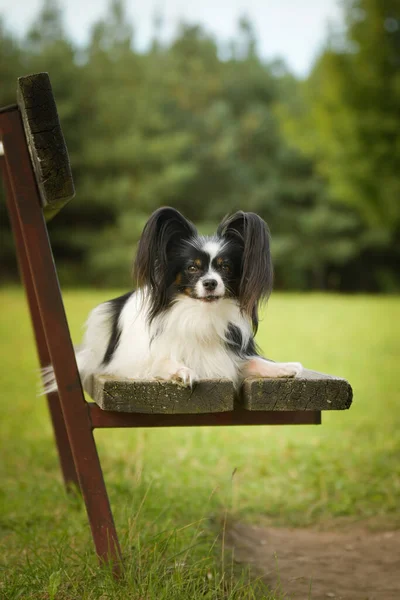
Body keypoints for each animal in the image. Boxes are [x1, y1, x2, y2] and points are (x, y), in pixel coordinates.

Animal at [41, 206, 304, 394]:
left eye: (225, 267)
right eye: (192, 268)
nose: (210, 283)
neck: (200, 313)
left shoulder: (229, 355)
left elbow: (252, 362)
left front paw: (283, 368)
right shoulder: (133, 362)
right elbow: (162, 362)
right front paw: (182, 371)